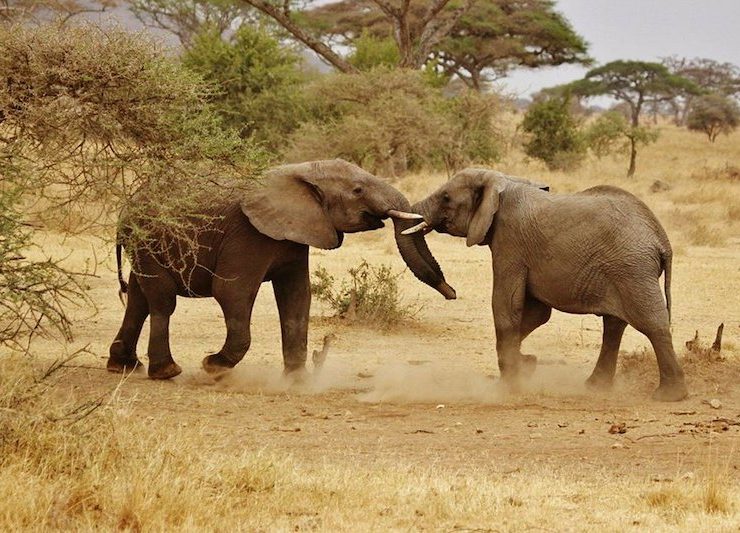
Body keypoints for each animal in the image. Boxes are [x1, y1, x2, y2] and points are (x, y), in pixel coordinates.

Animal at [108, 159, 455, 380]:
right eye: (357, 190)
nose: (451, 292)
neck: (299, 171)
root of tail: (127, 206)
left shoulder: (296, 234)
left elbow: (297, 296)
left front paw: (297, 380)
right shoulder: (248, 234)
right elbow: (232, 292)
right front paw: (212, 367)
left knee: (139, 298)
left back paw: (124, 367)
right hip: (146, 239)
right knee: (162, 300)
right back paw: (167, 372)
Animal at [403, 168, 688, 401]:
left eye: (446, 197)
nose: (451, 292)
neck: (503, 181)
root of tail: (662, 240)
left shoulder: (509, 242)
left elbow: (506, 307)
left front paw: (508, 386)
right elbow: (536, 314)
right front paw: (527, 364)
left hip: (632, 269)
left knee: (651, 323)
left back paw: (669, 396)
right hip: (622, 270)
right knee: (614, 325)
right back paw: (595, 387)